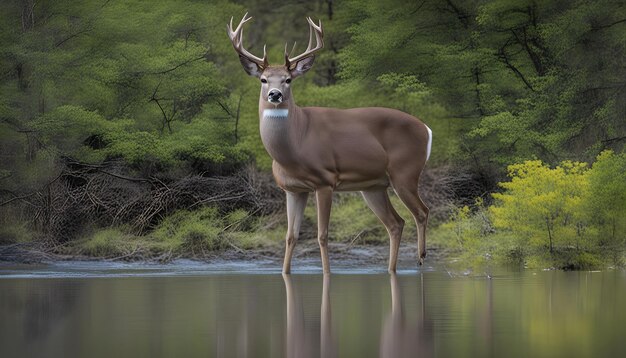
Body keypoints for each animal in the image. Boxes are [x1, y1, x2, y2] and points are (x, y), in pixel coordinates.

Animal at [227, 11, 432, 274]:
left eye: (288, 80)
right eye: (263, 79)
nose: (275, 94)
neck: (294, 148)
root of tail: (426, 128)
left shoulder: (325, 180)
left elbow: (322, 235)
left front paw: (327, 273)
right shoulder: (293, 189)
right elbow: (290, 236)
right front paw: (285, 272)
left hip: (405, 172)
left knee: (422, 212)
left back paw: (421, 259)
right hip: (374, 186)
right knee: (396, 223)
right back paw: (392, 269)